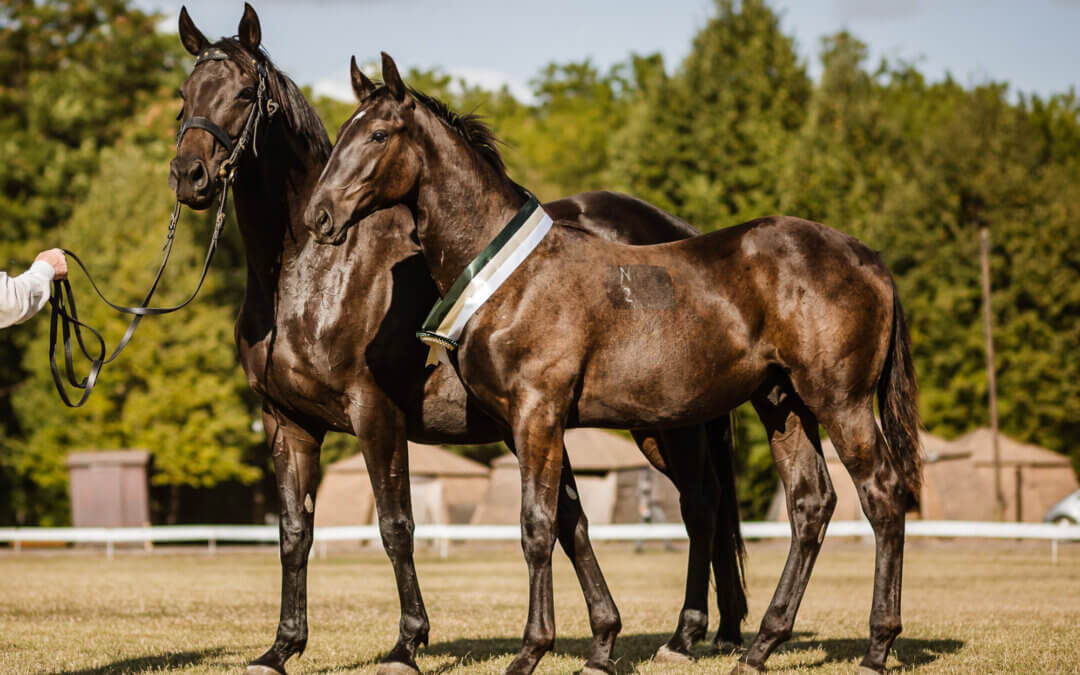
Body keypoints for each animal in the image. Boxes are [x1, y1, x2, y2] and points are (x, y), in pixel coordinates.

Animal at [170, 6, 751, 673]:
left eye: (244, 94)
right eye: (184, 94)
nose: (189, 176)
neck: (308, 273)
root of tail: (678, 229)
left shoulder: (376, 415)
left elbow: (396, 525)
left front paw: (407, 642)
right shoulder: (287, 422)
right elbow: (295, 533)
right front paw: (281, 646)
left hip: (671, 424)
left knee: (700, 507)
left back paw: (686, 634)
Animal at [308, 54, 924, 673]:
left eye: (379, 134)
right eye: (343, 132)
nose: (319, 217)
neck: (512, 277)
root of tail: (867, 257)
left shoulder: (538, 416)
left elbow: (537, 527)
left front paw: (531, 651)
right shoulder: (525, 425)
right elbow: (566, 521)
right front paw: (596, 646)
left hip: (838, 403)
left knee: (882, 494)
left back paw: (876, 646)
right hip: (782, 405)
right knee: (810, 504)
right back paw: (761, 645)